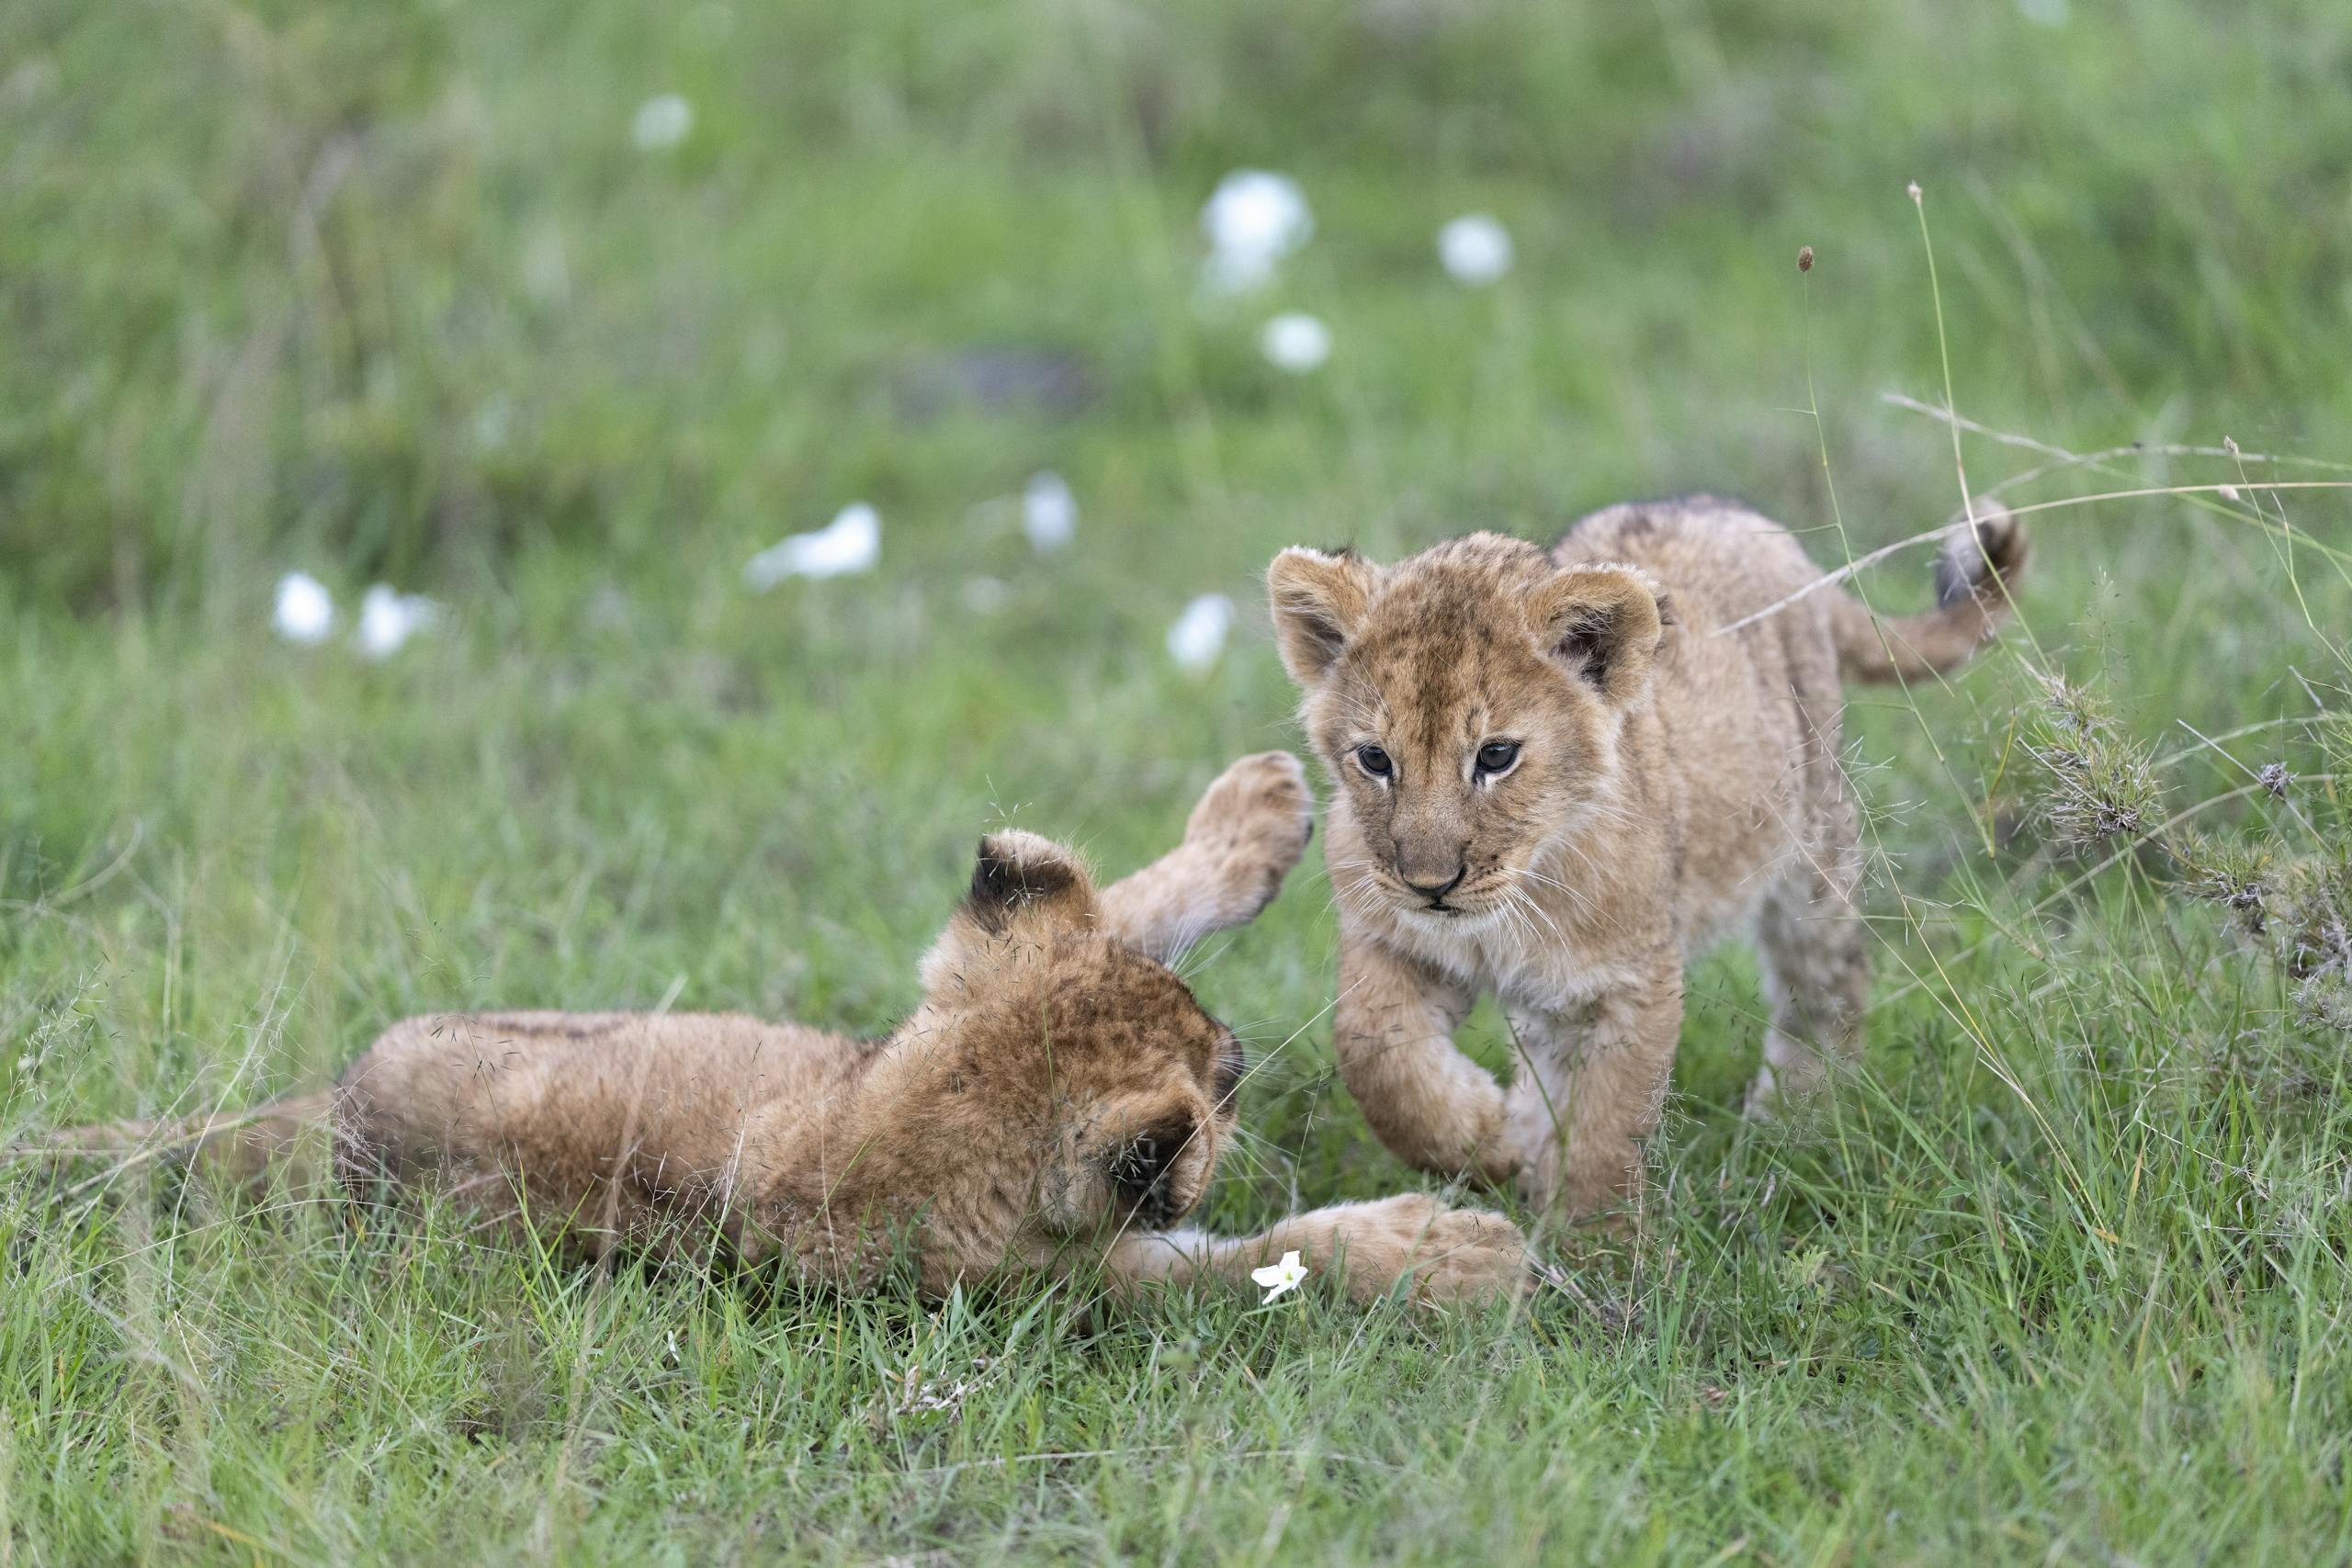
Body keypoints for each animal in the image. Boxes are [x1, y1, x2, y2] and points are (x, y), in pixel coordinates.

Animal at [34, 754, 1527, 1307]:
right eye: (1222, 1077)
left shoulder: (933, 991)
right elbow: (1266, 1262)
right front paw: (1445, 1253)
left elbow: (1127, 908)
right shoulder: (1080, 1284)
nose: (1238, 1065)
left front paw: (1253, 813)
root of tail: (322, 1116)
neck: (917, 1108)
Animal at [1266, 496, 2027, 1220]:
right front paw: (1492, 1141)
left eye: (1496, 755)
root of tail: (1763, 531)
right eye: (1374, 758)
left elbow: (1604, 1140)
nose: (1430, 885)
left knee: (1826, 986)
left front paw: (1591, 1250)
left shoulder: (1629, 986)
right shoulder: (1389, 935)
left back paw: (1795, 1121)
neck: (1515, 899)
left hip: (1814, 845)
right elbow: (1374, 1053)